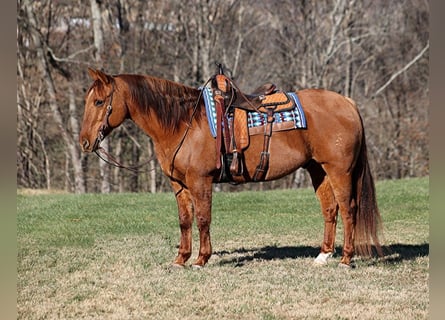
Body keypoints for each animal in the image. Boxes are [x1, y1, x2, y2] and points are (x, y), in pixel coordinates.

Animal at [79, 69, 382, 268]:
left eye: (99, 102)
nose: (84, 142)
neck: (182, 123)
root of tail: (348, 103)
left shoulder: (200, 181)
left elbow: (203, 218)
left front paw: (201, 259)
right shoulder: (179, 184)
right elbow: (185, 220)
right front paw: (180, 259)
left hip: (340, 171)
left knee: (348, 209)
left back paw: (346, 258)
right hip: (318, 169)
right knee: (330, 209)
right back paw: (323, 255)